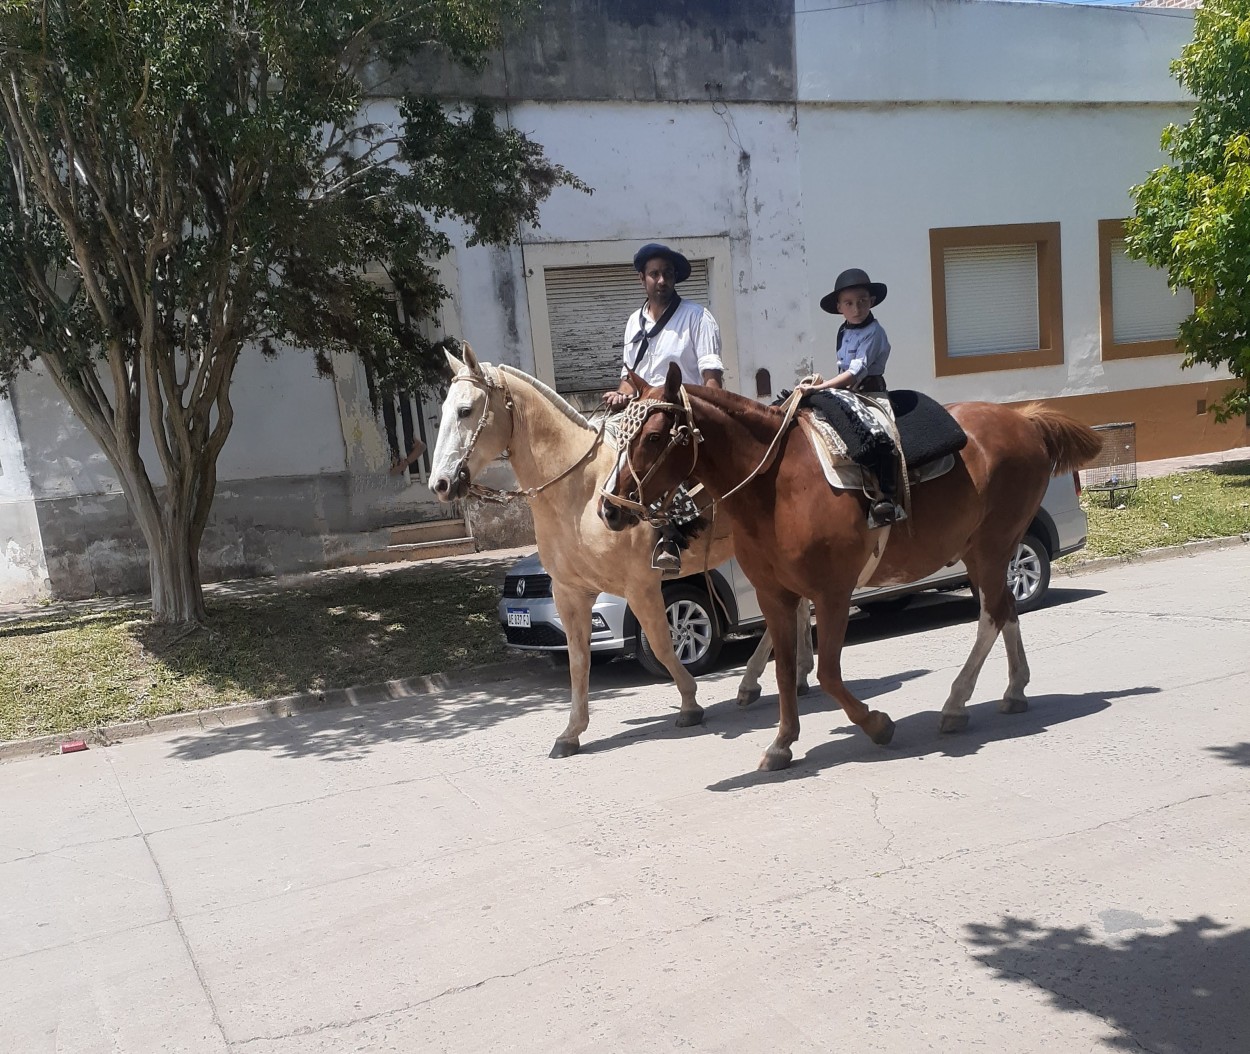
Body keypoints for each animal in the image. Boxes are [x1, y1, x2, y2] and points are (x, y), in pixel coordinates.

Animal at [430, 345, 815, 760]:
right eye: (444, 409)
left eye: (465, 410)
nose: (440, 483)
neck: (580, 495)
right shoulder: (569, 593)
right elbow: (578, 660)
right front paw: (571, 733)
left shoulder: (641, 587)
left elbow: (662, 645)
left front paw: (690, 704)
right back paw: (791, 676)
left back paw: (760, 680)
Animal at [600, 367, 1100, 770]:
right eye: (618, 438)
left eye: (653, 437)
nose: (609, 509)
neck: (777, 486)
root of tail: (1026, 421)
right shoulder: (774, 596)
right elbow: (786, 671)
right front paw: (782, 743)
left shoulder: (832, 594)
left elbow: (827, 673)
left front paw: (877, 724)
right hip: (986, 552)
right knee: (1006, 610)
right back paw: (1013, 691)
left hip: (992, 549)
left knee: (993, 615)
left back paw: (957, 703)